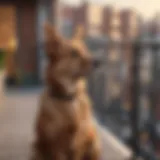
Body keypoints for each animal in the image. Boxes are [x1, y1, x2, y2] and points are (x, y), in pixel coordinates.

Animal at [31, 23, 100, 160]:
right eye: (74, 53)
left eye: (86, 50)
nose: (98, 62)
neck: (69, 97)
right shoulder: (56, 147)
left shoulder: (78, 145)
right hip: (36, 148)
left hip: (93, 141)